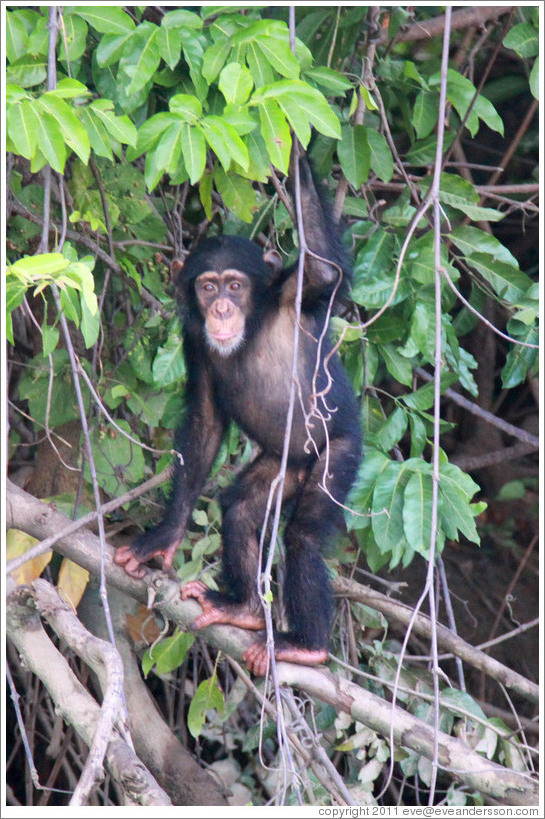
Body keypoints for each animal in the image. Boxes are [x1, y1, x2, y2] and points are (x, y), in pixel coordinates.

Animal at [114, 151, 362, 676]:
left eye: (234, 284)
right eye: (208, 287)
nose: (223, 308)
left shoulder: (295, 293)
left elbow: (324, 270)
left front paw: (296, 149)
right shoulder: (192, 339)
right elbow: (205, 425)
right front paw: (162, 538)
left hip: (338, 454)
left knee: (304, 537)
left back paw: (306, 645)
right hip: (281, 467)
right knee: (241, 508)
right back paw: (244, 608)